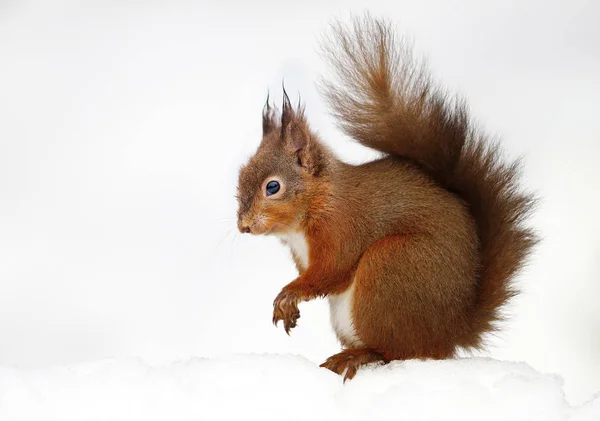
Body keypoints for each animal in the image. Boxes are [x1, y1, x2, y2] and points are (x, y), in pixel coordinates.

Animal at [236, 16, 540, 378]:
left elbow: (331, 271)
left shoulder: (343, 228)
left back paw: (357, 356)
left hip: (389, 266)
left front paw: (289, 294)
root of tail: (453, 333)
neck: (318, 203)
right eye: (240, 177)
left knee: (399, 351)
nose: (243, 225)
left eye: (273, 187)